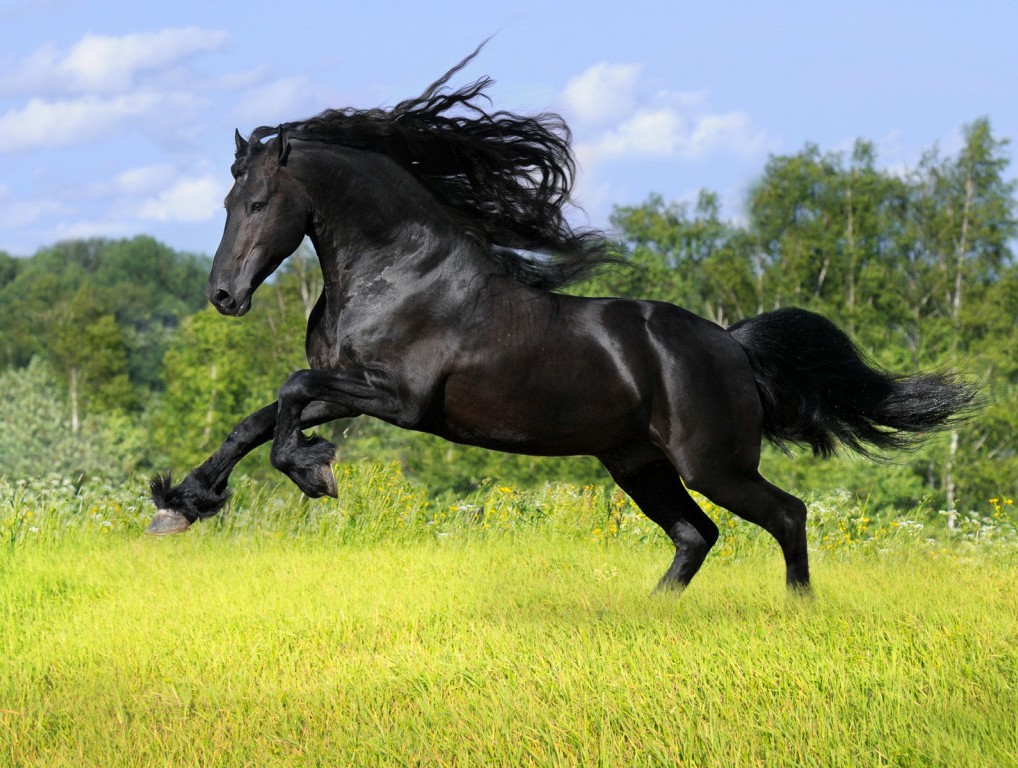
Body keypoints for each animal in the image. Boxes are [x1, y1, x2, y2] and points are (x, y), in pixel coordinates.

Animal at [148, 47, 974, 593]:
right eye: (227, 201)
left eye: (259, 202)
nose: (224, 296)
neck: (400, 271)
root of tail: (733, 348)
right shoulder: (349, 385)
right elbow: (254, 420)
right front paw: (182, 505)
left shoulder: (398, 399)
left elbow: (287, 393)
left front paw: (313, 472)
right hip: (638, 464)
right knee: (696, 534)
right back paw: (653, 613)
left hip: (713, 463)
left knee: (787, 515)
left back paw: (796, 610)